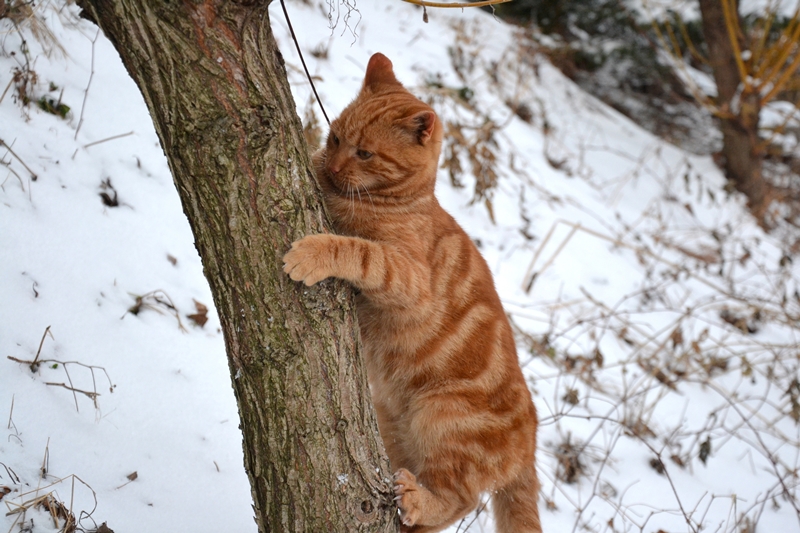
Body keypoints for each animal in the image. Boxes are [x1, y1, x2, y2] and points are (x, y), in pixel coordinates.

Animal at [282, 52, 544, 528]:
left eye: (365, 153)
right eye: (335, 137)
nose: (334, 166)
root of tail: (531, 445)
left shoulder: (409, 276)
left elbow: (358, 250)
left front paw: (313, 253)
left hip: (440, 416)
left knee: (459, 499)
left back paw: (417, 499)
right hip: (393, 422)